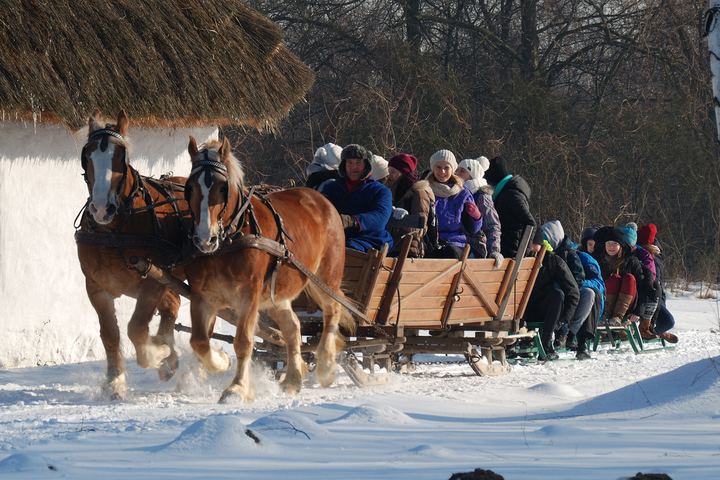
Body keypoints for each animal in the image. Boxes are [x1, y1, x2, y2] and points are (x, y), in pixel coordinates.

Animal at [76, 110, 194, 400]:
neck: (115, 232)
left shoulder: (151, 280)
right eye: (87, 156)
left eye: (122, 157)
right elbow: (110, 333)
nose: (100, 209)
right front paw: (115, 381)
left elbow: (136, 328)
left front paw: (158, 352)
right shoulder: (96, 287)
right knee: (172, 306)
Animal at [181, 135, 352, 402]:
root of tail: (320, 199)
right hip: (277, 295)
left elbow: (243, 341)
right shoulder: (202, 296)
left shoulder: (248, 295)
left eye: (222, 188)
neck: (229, 241)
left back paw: (325, 366)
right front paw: (220, 362)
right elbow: (199, 340)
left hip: (325, 277)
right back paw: (292, 379)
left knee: (332, 310)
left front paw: (237, 388)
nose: (204, 240)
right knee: (293, 329)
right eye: (189, 188)